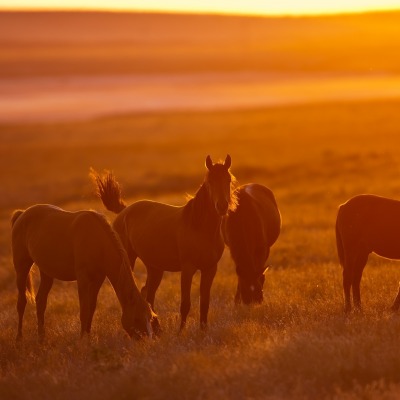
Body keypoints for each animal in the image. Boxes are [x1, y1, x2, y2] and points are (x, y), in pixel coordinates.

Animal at [10, 205, 155, 342]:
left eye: (149, 317)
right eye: (136, 318)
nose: (145, 340)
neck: (97, 242)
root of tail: (22, 214)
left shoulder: (97, 280)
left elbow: (91, 308)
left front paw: (88, 337)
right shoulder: (83, 279)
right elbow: (84, 310)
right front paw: (81, 340)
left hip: (46, 272)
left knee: (41, 301)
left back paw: (41, 338)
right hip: (22, 268)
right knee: (21, 302)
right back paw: (19, 338)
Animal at [92, 156, 236, 332]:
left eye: (228, 180)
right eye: (209, 181)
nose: (222, 206)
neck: (200, 228)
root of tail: (124, 211)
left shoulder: (210, 269)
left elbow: (205, 303)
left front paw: (203, 331)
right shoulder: (187, 269)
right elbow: (185, 304)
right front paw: (180, 332)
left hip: (155, 268)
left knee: (148, 293)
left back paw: (156, 327)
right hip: (130, 259)